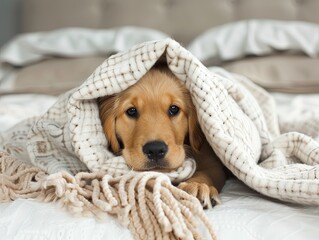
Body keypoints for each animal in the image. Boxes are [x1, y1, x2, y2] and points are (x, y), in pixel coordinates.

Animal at [99, 66, 226, 207]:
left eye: (174, 109)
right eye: (131, 111)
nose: (155, 150)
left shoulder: (212, 160)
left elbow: (207, 171)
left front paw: (197, 185)